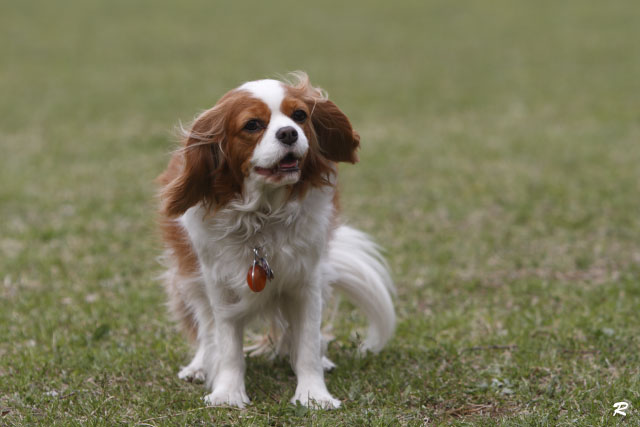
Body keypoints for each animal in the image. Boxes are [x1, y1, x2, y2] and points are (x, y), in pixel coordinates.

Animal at [156, 73, 396, 412]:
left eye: (300, 116)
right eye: (253, 125)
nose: (288, 133)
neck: (263, 215)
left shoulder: (307, 281)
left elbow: (307, 341)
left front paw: (312, 394)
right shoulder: (219, 283)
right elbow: (226, 342)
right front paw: (228, 393)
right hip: (190, 278)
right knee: (205, 325)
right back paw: (200, 365)